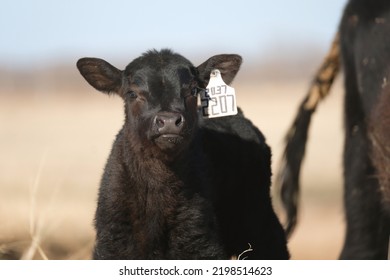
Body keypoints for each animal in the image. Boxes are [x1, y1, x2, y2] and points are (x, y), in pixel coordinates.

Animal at [77, 48, 290, 260]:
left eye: (193, 90)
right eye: (132, 93)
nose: (169, 121)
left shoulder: (199, 241)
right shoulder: (113, 244)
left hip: (258, 219)